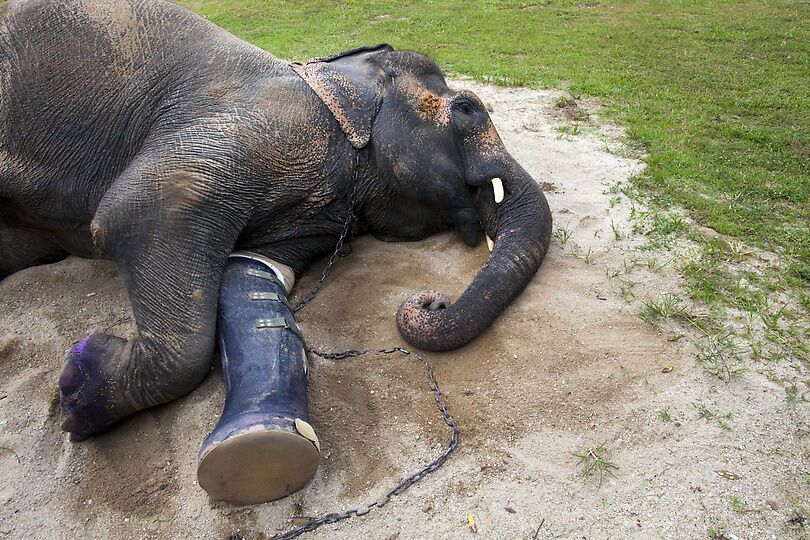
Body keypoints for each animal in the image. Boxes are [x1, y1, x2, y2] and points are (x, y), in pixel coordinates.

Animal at [0, 0, 548, 442]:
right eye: (468, 108)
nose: (432, 300)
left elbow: (252, 264)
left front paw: (77, 392)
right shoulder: (270, 126)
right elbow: (141, 206)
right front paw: (74, 400)